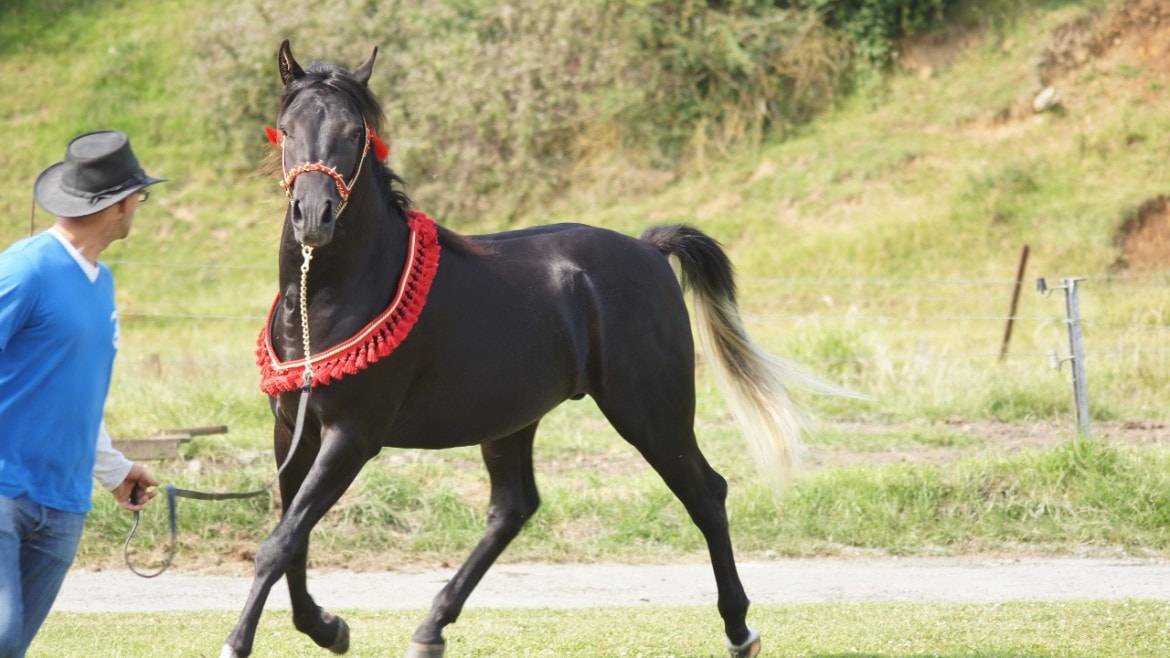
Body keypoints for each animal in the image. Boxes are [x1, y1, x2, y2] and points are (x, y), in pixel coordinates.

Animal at [221, 39, 832, 658]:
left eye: (353, 131)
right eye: (286, 129)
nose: (314, 216)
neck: (333, 297)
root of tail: (649, 250)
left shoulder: (352, 436)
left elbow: (281, 541)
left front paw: (241, 641)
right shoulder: (293, 432)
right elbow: (292, 537)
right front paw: (327, 627)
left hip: (650, 411)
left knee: (705, 493)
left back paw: (739, 629)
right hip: (512, 418)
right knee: (512, 508)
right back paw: (432, 627)